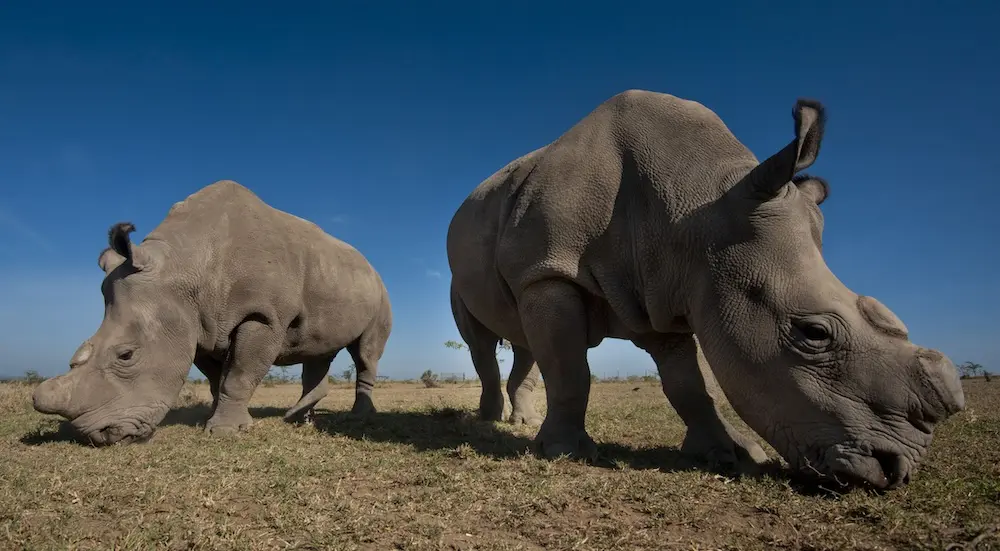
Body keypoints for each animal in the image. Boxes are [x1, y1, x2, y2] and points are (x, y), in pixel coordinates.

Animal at [32, 180, 392, 445]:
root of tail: (369, 265)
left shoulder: (263, 316)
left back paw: (355, 417)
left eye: (126, 355)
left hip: (380, 291)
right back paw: (299, 419)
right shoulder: (197, 324)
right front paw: (216, 420)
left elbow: (239, 374)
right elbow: (217, 379)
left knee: (365, 353)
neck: (184, 265)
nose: (99, 436)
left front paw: (224, 431)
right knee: (317, 350)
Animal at [446, 89, 965, 489]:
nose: (895, 471)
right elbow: (571, 371)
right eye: (814, 333)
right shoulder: (549, 271)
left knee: (524, 341)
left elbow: (690, 385)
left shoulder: (664, 288)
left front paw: (732, 454)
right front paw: (564, 453)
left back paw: (521, 422)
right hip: (474, 271)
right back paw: (488, 422)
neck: (698, 206)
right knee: (483, 342)